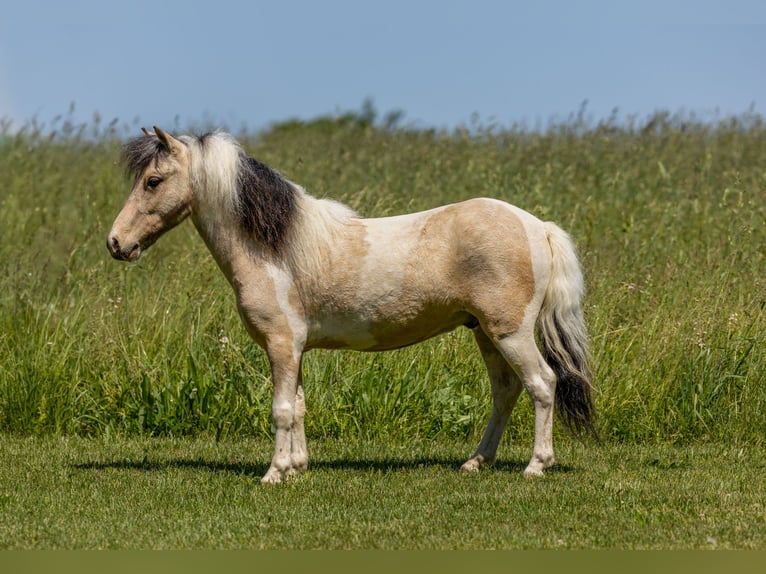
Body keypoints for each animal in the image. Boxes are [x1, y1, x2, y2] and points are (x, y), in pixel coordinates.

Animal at [107, 126, 596, 484]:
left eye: (153, 181)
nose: (116, 242)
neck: (275, 250)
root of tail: (536, 225)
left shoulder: (281, 345)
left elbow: (281, 410)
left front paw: (273, 474)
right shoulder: (294, 349)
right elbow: (299, 406)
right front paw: (297, 468)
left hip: (510, 333)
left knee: (542, 384)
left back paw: (535, 466)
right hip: (486, 334)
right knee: (506, 391)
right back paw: (476, 462)